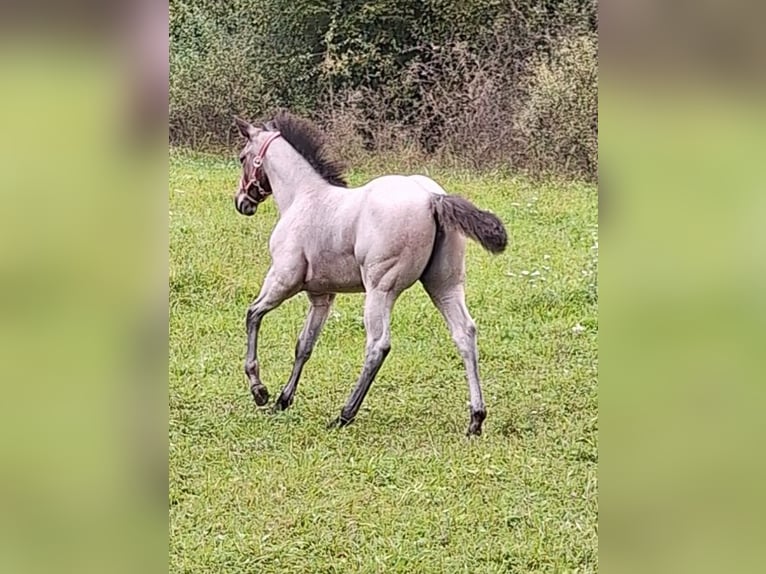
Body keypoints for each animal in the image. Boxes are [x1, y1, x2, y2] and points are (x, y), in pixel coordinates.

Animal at [234, 112, 510, 436]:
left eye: (242, 157)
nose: (242, 202)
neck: (304, 197)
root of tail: (432, 197)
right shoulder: (321, 296)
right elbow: (304, 345)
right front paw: (282, 399)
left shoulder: (282, 280)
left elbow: (252, 315)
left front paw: (260, 391)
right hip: (444, 284)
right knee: (464, 333)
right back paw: (475, 419)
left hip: (381, 289)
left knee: (378, 345)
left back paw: (344, 414)